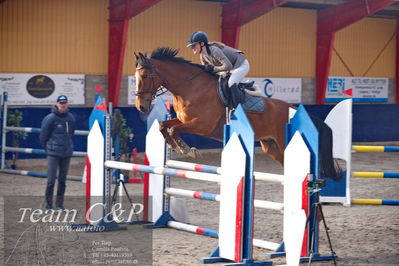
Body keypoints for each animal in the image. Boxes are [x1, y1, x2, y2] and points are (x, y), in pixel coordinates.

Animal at [134, 46, 340, 180]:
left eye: (144, 75)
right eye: (135, 76)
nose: (141, 107)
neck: (189, 87)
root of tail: (296, 109)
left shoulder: (202, 125)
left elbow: (174, 130)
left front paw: (186, 149)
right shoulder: (183, 119)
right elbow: (164, 126)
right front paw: (176, 146)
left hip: (284, 142)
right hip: (271, 146)